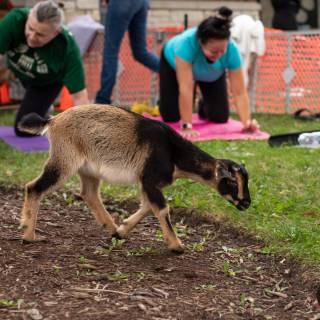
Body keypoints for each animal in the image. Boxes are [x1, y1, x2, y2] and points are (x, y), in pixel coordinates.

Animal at [18, 105, 251, 252]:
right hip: (64, 159)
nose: (247, 203)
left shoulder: (148, 184)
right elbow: (161, 208)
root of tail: (52, 120)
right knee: (34, 187)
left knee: (90, 194)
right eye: (232, 181)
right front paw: (177, 246)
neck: (174, 153)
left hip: (88, 169)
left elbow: (148, 206)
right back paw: (28, 235)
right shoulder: (149, 179)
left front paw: (122, 231)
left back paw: (111, 228)